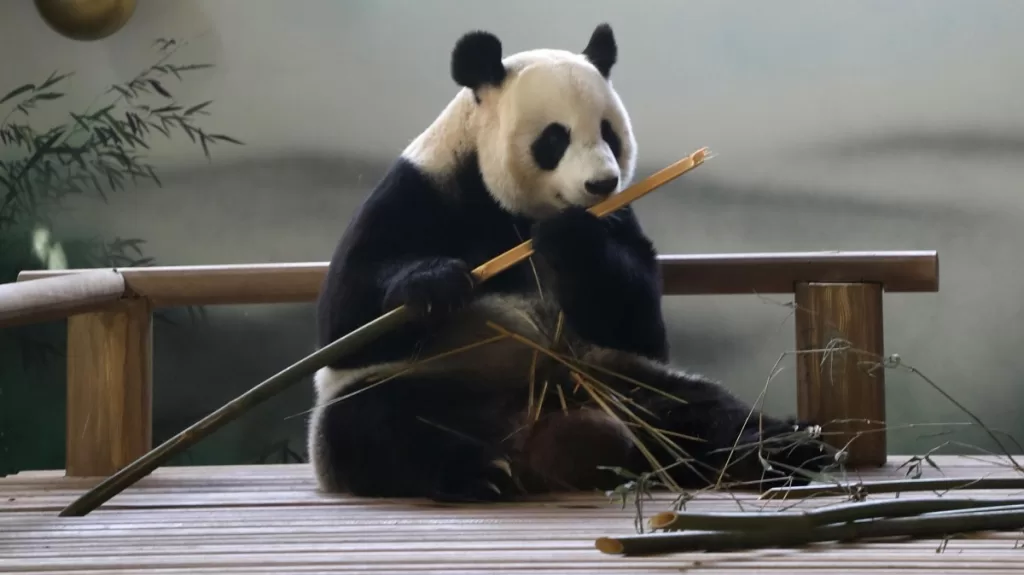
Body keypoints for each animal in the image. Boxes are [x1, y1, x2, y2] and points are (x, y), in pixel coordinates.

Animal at [307, 23, 832, 503]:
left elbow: (639, 324)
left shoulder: (618, 217)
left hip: (615, 378)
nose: (601, 183)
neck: (515, 212)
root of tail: (535, 437)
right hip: (427, 385)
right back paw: (477, 473)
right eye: (554, 138)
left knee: (700, 411)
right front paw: (436, 284)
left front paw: (570, 239)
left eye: (609, 133)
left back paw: (788, 449)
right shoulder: (421, 188)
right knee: (378, 426)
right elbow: (345, 316)